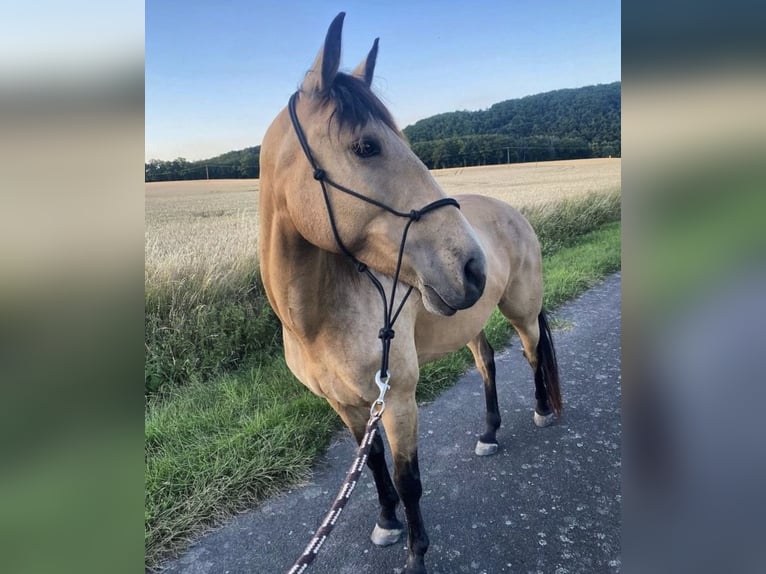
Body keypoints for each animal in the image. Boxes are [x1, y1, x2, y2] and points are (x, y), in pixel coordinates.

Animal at [260, 13, 564, 574]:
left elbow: (409, 479)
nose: (471, 266)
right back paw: (489, 433)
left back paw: (539, 409)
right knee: (487, 361)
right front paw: (386, 521)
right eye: (366, 146)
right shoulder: (348, 405)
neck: (317, 319)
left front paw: (416, 553)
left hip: (521, 311)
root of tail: (513, 212)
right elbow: (374, 464)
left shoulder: (398, 399)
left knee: (532, 352)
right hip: (467, 320)